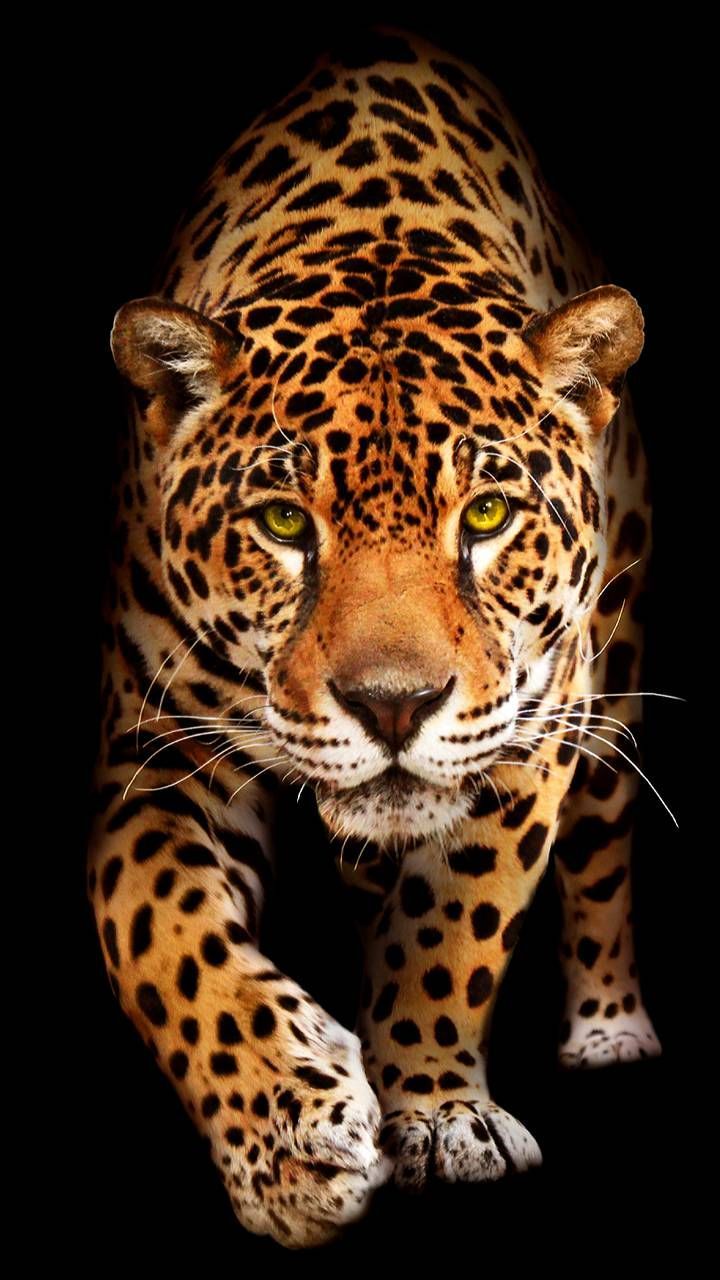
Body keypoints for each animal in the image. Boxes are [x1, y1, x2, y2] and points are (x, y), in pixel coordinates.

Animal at [87, 24, 663, 1249]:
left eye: (486, 516)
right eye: (282, 523)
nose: (393, 705)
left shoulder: (531, 728)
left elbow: (453, 924)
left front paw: (438, 1111)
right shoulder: (155, 756)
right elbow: (164, 935)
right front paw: (290, 1141)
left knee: (601, 851)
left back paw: (609, 1028)